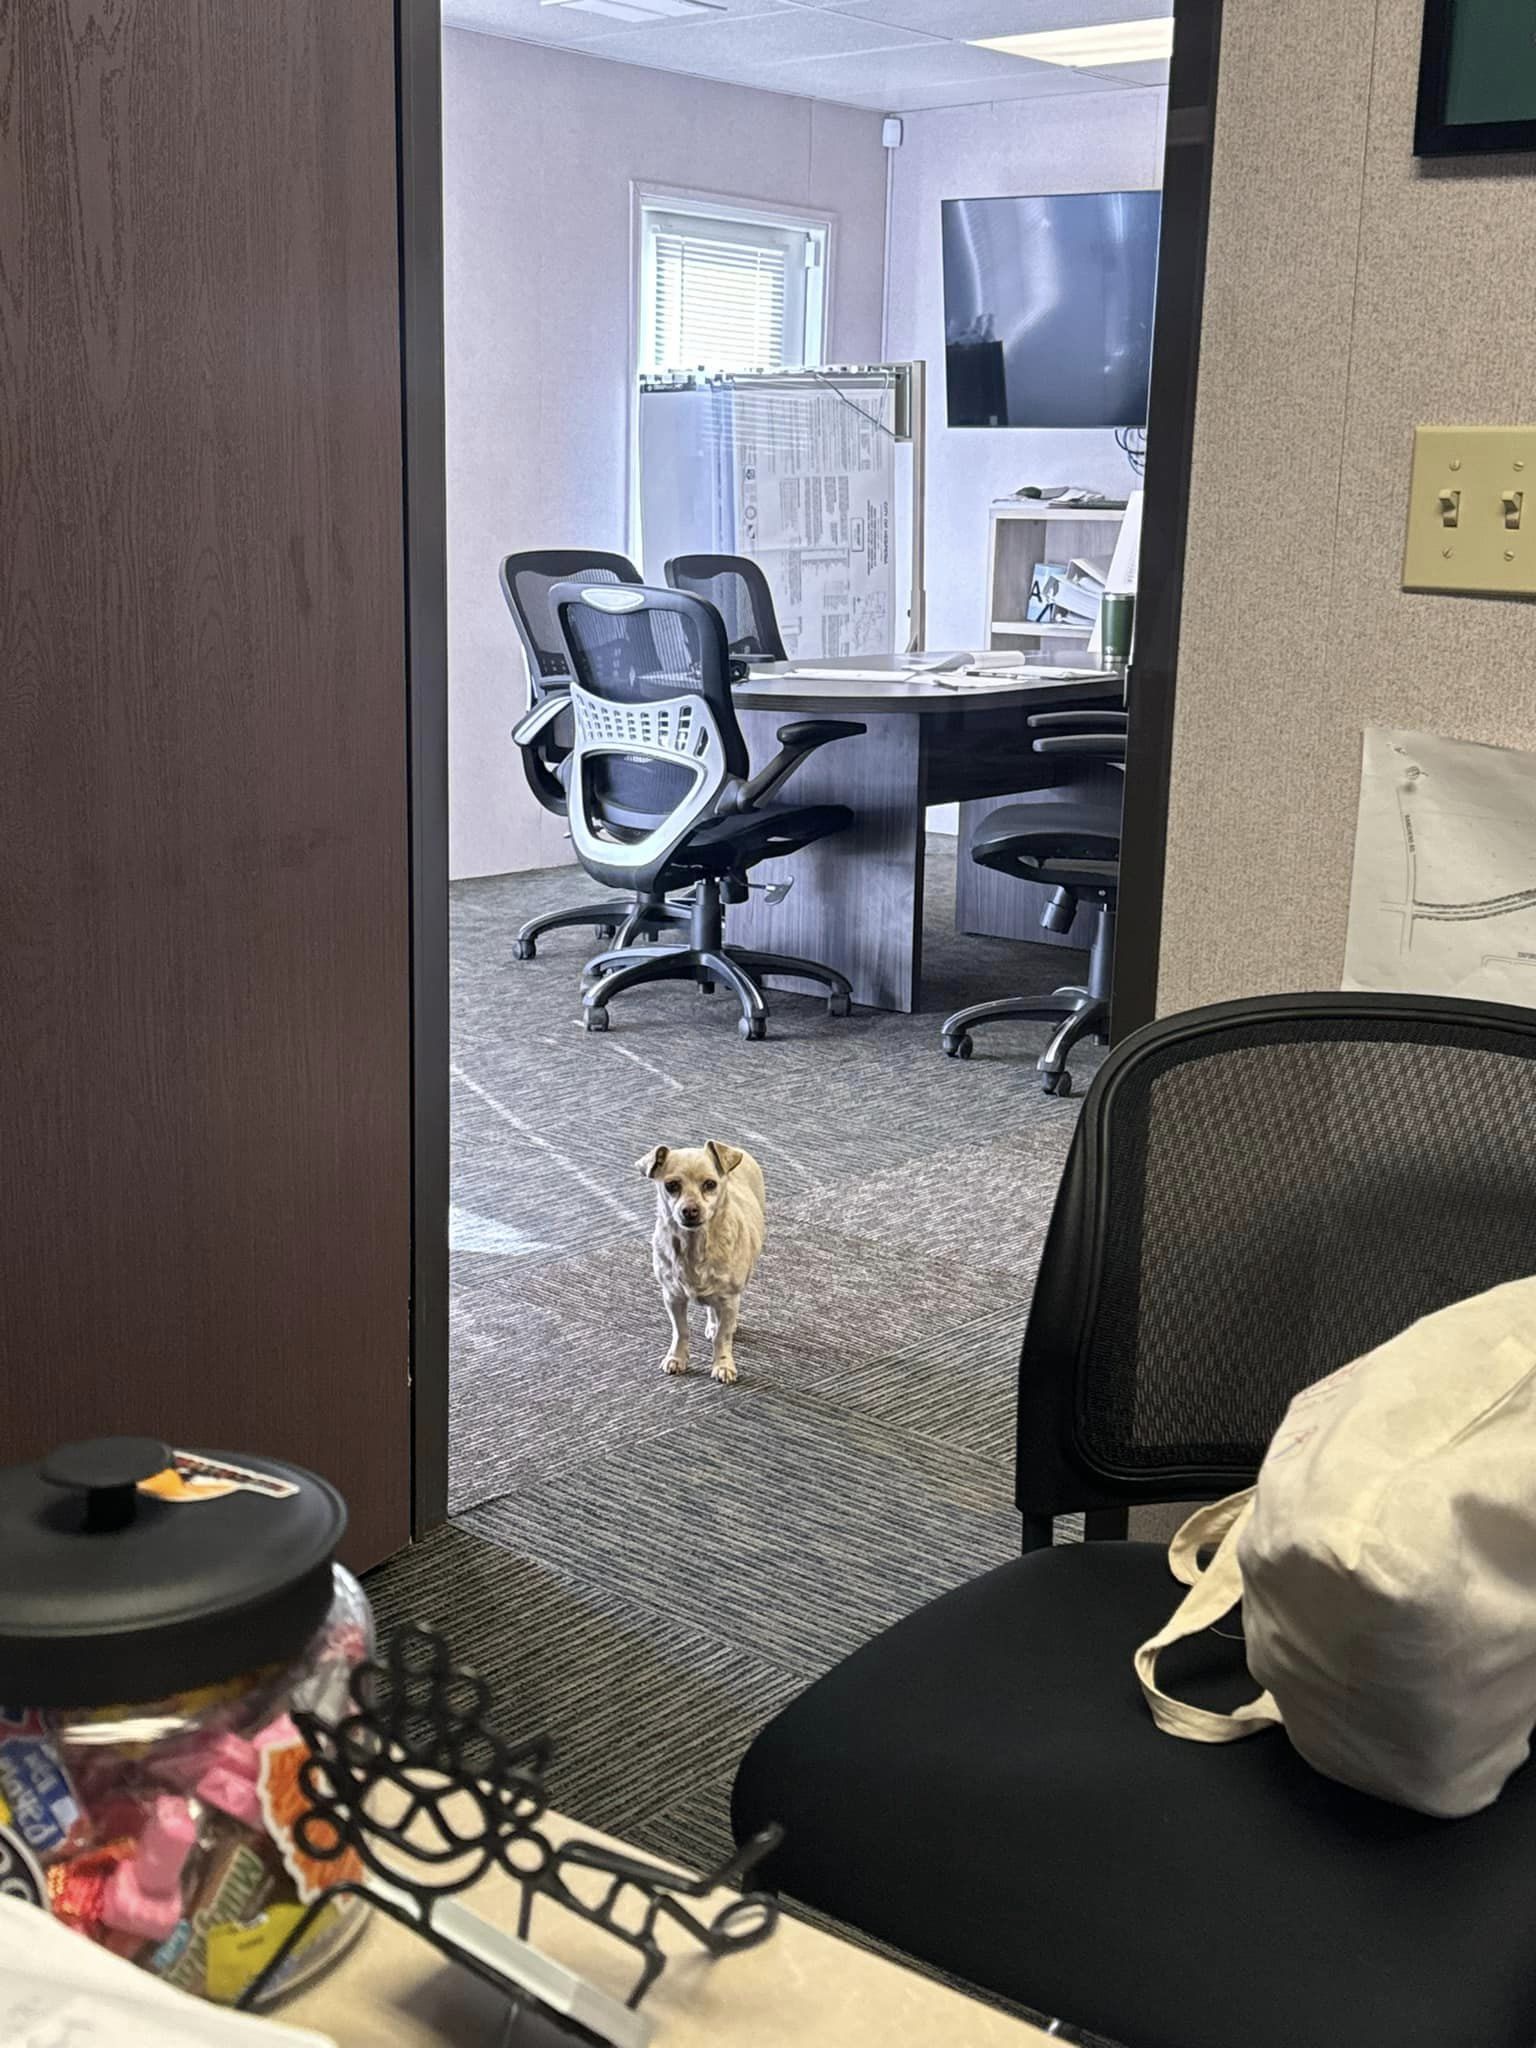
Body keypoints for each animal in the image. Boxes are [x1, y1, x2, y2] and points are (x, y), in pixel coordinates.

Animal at [638, 1146, 765, 1384]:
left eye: (710, 1184)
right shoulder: (672, 1297)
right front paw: (676, 1358)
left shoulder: (729, 1299)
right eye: (671, 1185)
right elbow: (681, 1331)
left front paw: (723, 1365)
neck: (694, 1246)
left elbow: (722, 1338)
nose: (690, 1210)